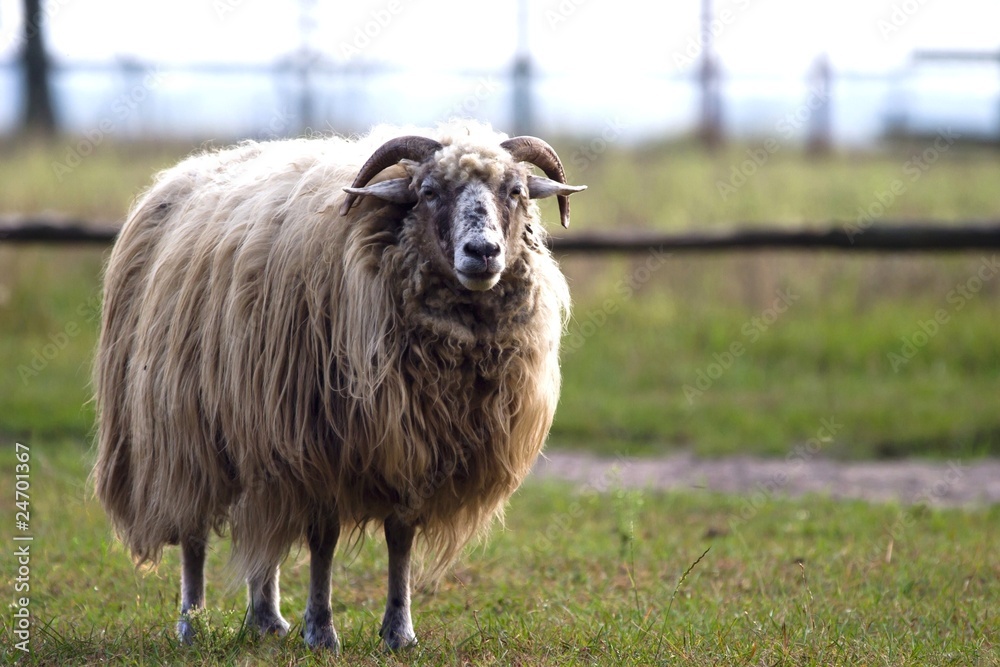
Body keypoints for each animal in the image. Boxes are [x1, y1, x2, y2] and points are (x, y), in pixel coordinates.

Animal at [92, 121, 585, 652]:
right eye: (428, 192)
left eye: (515, 191)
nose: (483, 252)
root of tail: (180, 174)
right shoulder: (320, 445)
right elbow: (323, 541)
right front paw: (322, 630)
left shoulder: (413, 445)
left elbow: (400, 539)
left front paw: (399, 631)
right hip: (179, 430)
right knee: (193, 534)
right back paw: (192, 623)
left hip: (254, 433)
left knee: (261, 529)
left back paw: (265, 619)